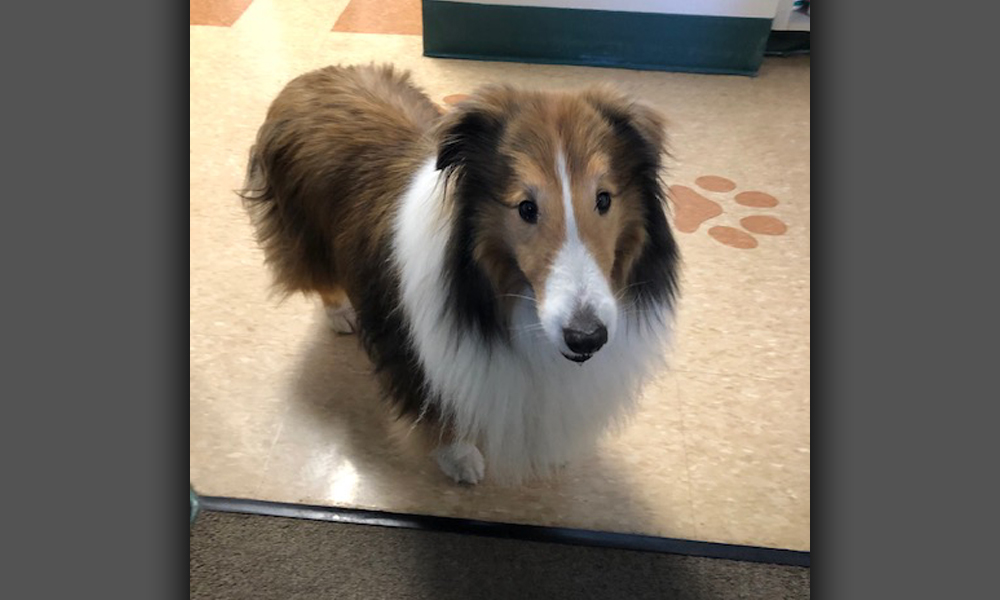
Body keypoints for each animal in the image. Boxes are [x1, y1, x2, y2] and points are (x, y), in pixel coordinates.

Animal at [241, 63, 680, 486]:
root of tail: (307, 78)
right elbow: (442, 417)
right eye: (526, 208)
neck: (506, 302)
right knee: (319, 278)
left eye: (604, 199)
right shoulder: (419, 360)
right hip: (304, 236)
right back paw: (340, 312)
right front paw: (460, 459)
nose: (586, 337)